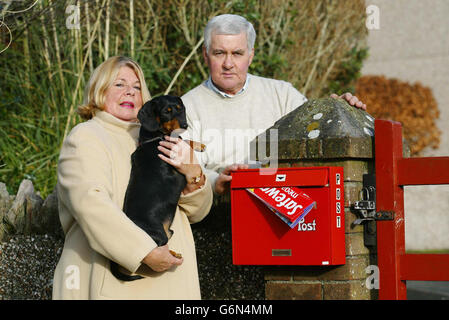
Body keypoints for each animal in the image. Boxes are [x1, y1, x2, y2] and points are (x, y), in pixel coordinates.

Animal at [109, 94, 202, 280]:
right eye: (166, 111)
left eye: (180, 108)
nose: (184, 125)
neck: (154, 139)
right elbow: (182, 142)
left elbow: (184, 141)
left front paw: (200, 145)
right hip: (157, 236)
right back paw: (172, 255)